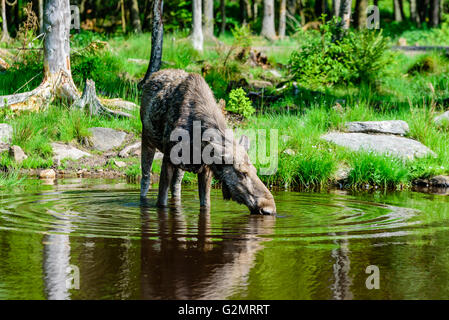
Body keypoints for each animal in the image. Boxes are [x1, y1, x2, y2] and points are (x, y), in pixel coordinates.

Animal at [140, 69, 274, 215]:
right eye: (242, 173)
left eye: (255, 170)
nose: (268, 208)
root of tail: (154, 75)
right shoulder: (168, 158)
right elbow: (161, 201)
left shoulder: (207, 168)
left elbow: (206, 204)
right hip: (147, 138)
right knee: (145, 178)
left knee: (176, 185)